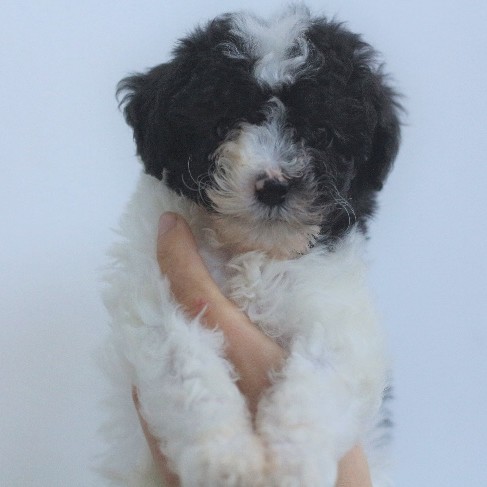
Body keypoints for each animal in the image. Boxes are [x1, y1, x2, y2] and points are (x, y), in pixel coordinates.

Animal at [101, 5, 401, 487]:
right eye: (222, 125)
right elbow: (186, 367)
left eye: (321, 133)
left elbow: (319, 380)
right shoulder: (157, 301)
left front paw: (293, 462)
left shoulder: (339, 316)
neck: (253, 251)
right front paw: (225, 459)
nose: (274, 185)